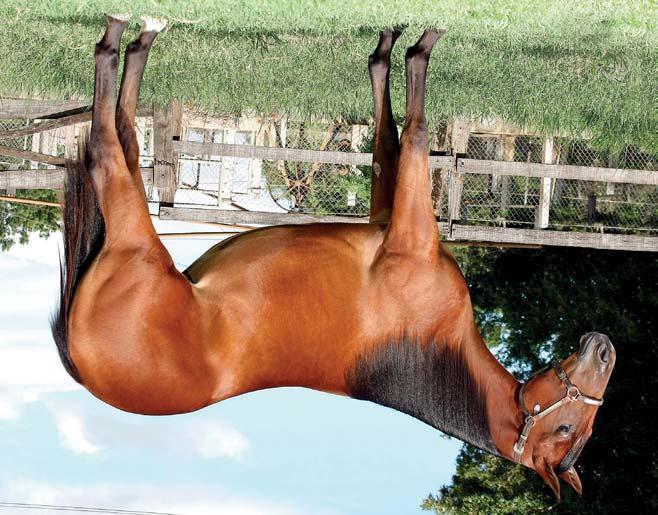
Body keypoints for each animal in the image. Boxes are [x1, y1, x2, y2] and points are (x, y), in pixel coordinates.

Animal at [51, 15, 616, 500]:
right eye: (567, 426)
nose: (605, 350)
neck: (431, 344)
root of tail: (83, 369)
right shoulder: (394, 218)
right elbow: (397, 135)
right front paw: (398, 44)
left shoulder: (405, 231)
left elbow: (409, 132)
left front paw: (414, 46)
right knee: (117, 135)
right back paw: (137, 35)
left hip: (136, 242)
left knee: (110, 143)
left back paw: (130, 34)